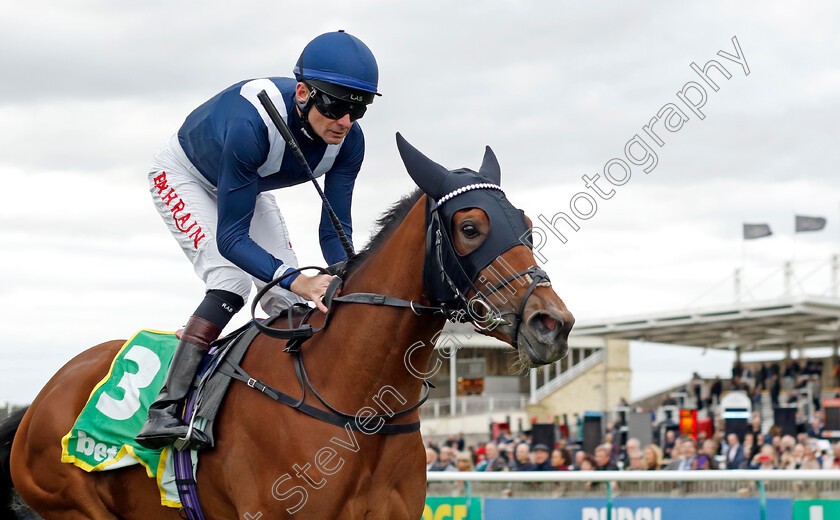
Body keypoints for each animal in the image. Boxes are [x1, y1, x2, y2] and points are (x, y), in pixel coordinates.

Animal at [0, 135, 576, 520]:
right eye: (471, 227)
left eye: (526, 225)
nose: (553, 323)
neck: (350, 401)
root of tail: (39, 400)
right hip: (71, 506)